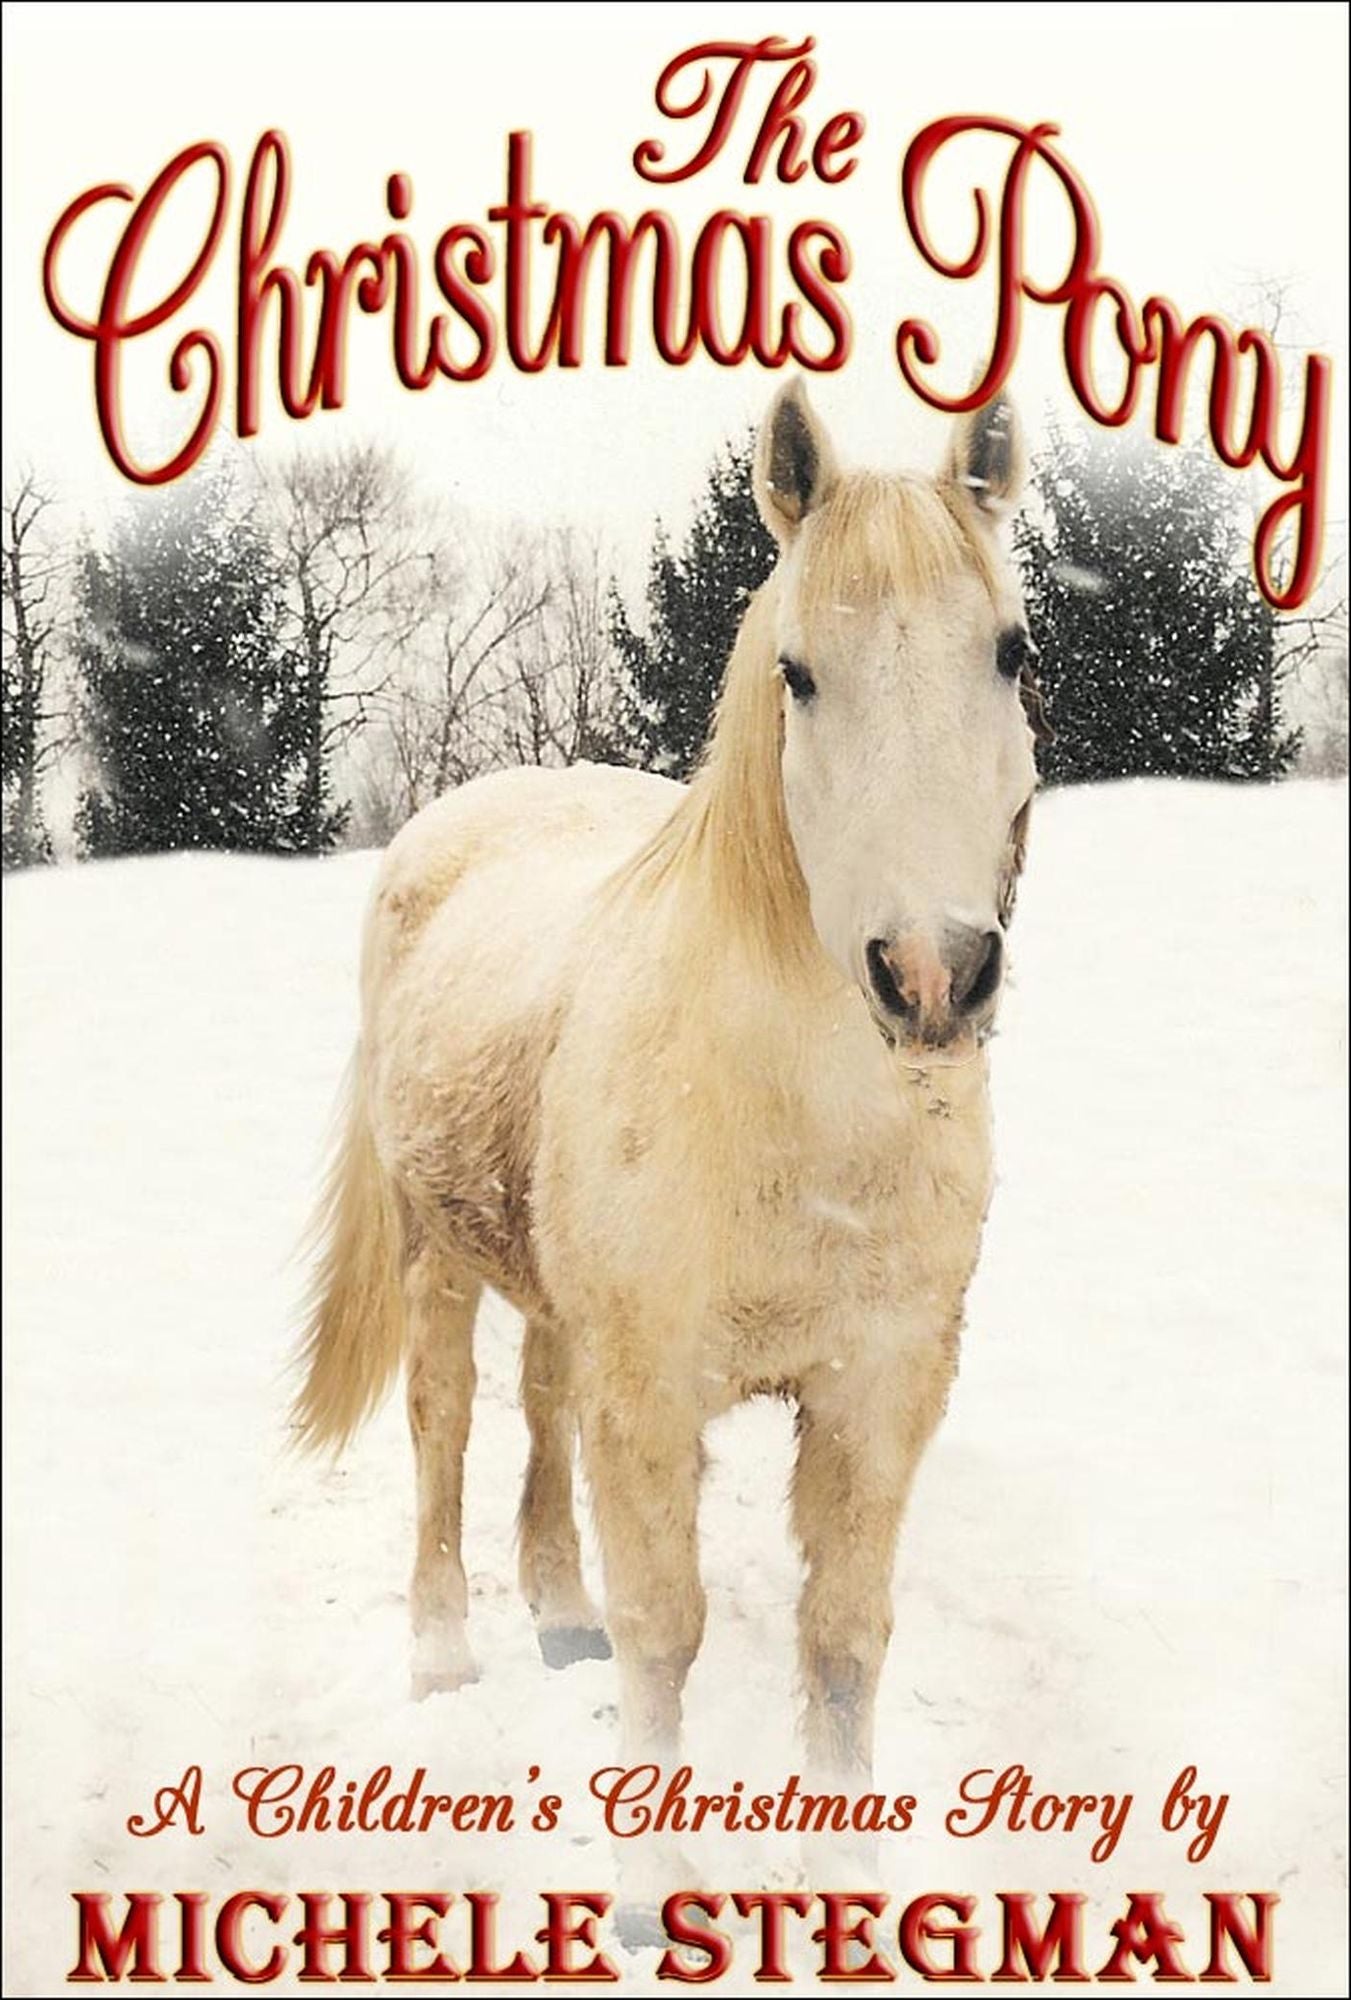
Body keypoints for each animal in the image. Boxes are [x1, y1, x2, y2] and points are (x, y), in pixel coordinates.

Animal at [295, 380, 1044, 1844]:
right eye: (796, 673)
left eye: (1010, 649)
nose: (932, 973)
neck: (804, 1129)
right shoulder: (648, 1390)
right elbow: (663, 1639)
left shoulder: (877, 1388)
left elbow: (841, 1645)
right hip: (431, 1257)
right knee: (443, 1428)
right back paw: (442, 1651)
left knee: (537, 1405)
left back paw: (554, 1609)